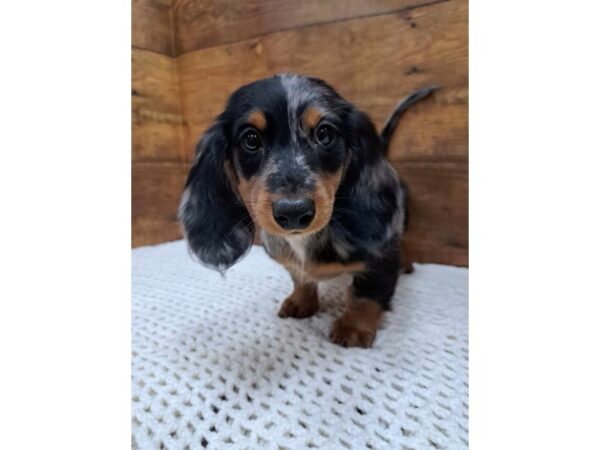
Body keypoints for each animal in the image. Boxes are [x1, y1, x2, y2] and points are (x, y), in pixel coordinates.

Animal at [178, 74, 436, 348]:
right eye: (251, 139)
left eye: (324, 133)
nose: (294, 212)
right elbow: (300, 277)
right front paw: (301, 301)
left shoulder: (382, 256)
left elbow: (366, 294)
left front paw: (354, 327)